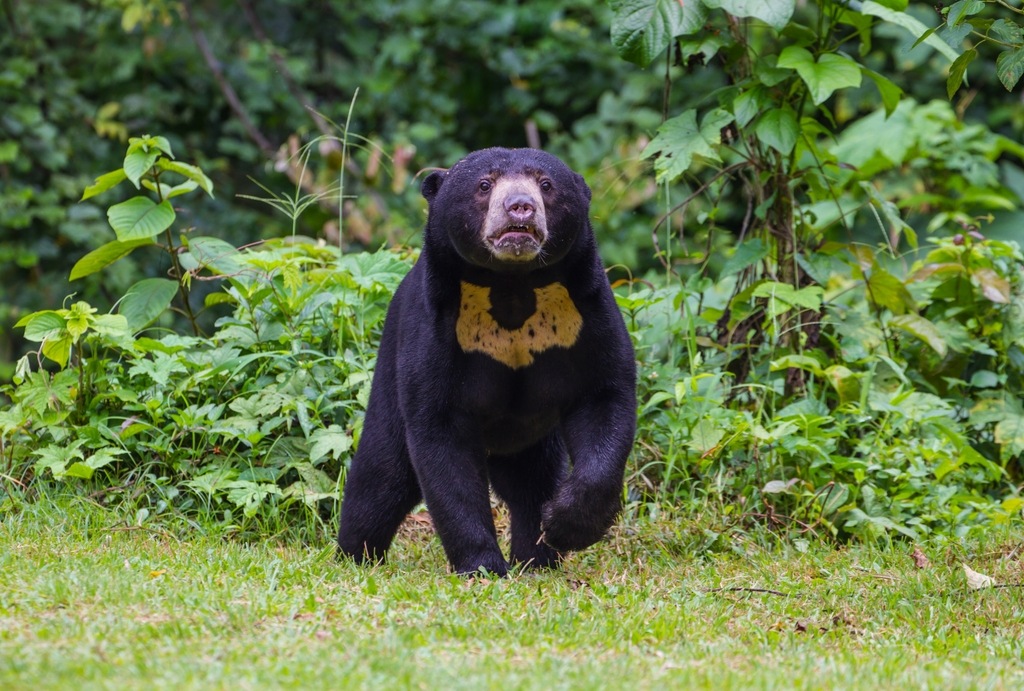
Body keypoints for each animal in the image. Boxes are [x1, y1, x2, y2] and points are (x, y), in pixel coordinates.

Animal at [335, 148, 634, 577]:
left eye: (546, 185)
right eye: (484, 185)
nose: (520, 207)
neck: (512, 285)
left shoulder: (586, 312)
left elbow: (604, 397)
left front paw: (565, 526)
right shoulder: (436, 326)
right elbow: (441, 436)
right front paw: (482, 565)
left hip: (532, 437)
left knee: (532, 481)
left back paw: (537, 558)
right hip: (389, 367)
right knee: (382, 474)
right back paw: (355, 554)